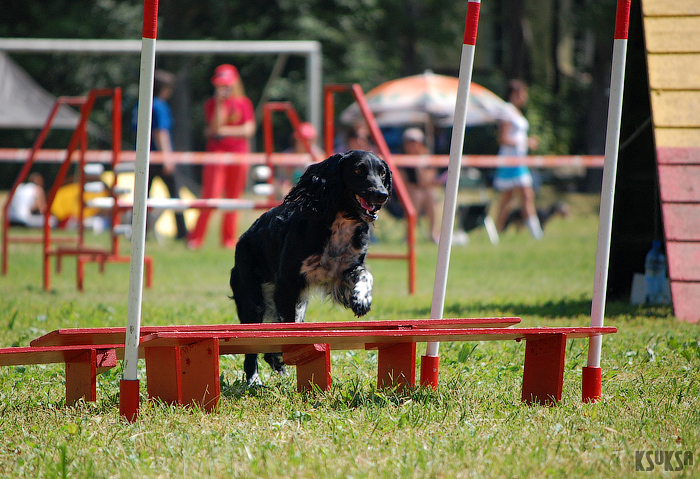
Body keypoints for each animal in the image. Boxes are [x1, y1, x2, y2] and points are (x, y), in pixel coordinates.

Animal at [230, 150, 392, 386]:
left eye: (382, 173)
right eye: (358, 170)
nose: (382, 194)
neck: (339, 222)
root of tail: (244, 237)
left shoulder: (343, 271)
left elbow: (364, 275)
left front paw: (362, 299)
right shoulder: (287, 283)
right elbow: (287, 329)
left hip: (298, 302)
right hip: (252, 299)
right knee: (252, 345)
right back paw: (254, 380)